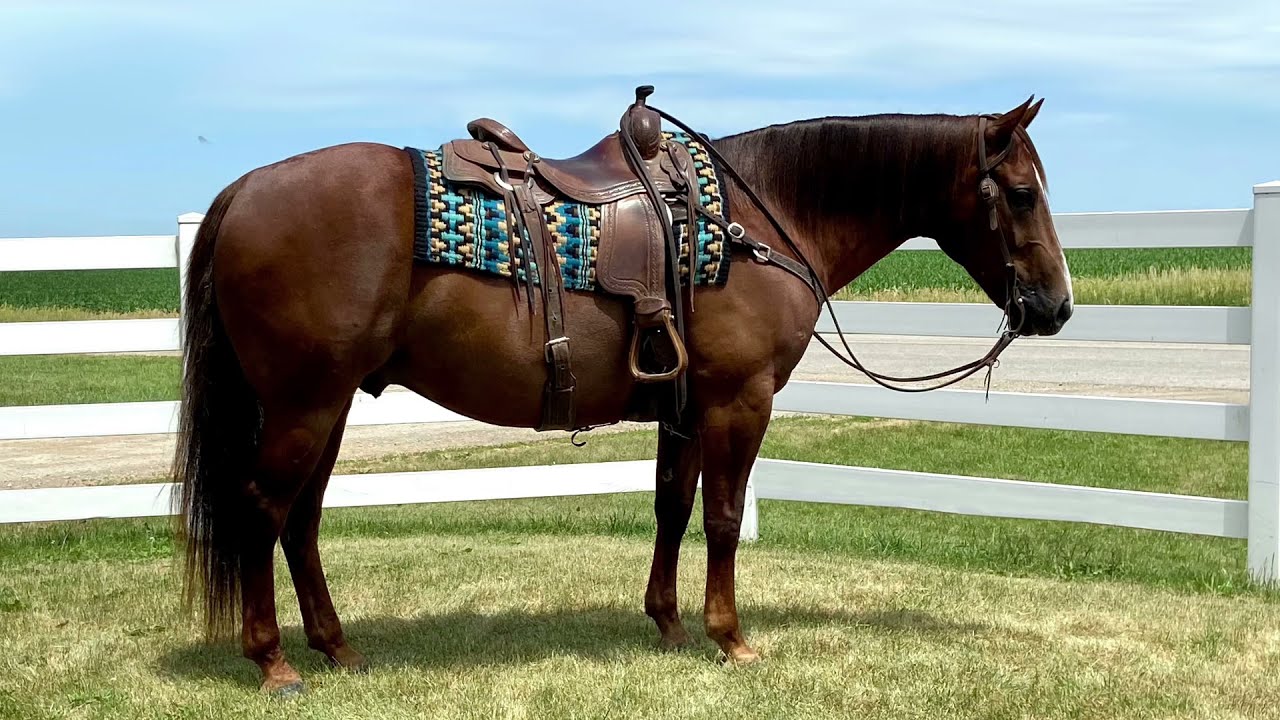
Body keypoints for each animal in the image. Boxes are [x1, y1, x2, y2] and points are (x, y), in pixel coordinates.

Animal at [173, 94, 1073, 695]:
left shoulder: (684, 408)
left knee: (301, 520)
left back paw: (337, 648)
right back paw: (273, 660)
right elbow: (721, 517)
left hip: (326, 405)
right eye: (1021, 192)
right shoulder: (738, 401)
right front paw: (730, 638)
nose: (1055, 307)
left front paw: (668, 624)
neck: (759, 220)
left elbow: (672, 506)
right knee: (262, 509)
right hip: (303, 403)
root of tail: (243, 191)